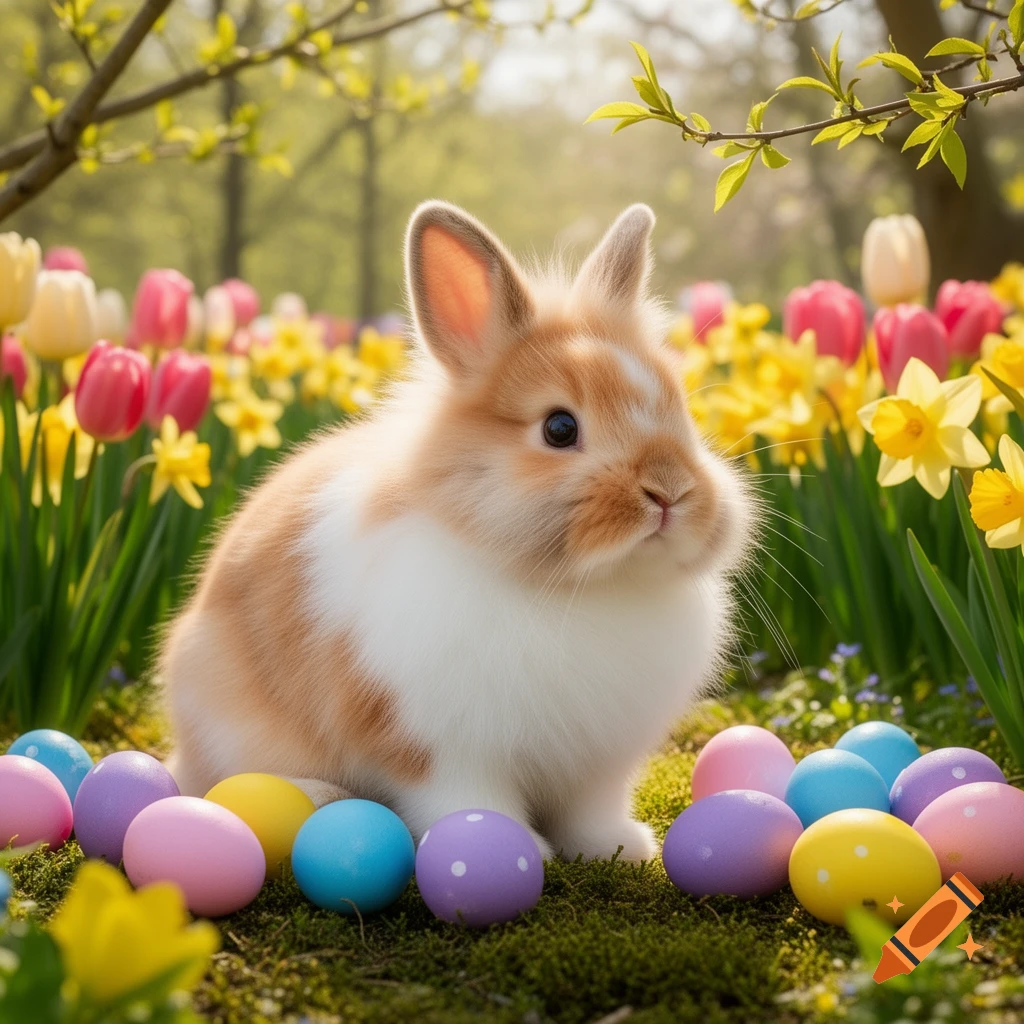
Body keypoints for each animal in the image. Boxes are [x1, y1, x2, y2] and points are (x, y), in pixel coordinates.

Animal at [162, 200, 756, 862]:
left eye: (681, 412)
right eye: (559, 428)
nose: (670, 492)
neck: (582, 587)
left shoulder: (598, 764)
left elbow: (590, 811)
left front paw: (620, 848)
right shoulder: (438, 747)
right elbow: (464, 799)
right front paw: (507, 848)